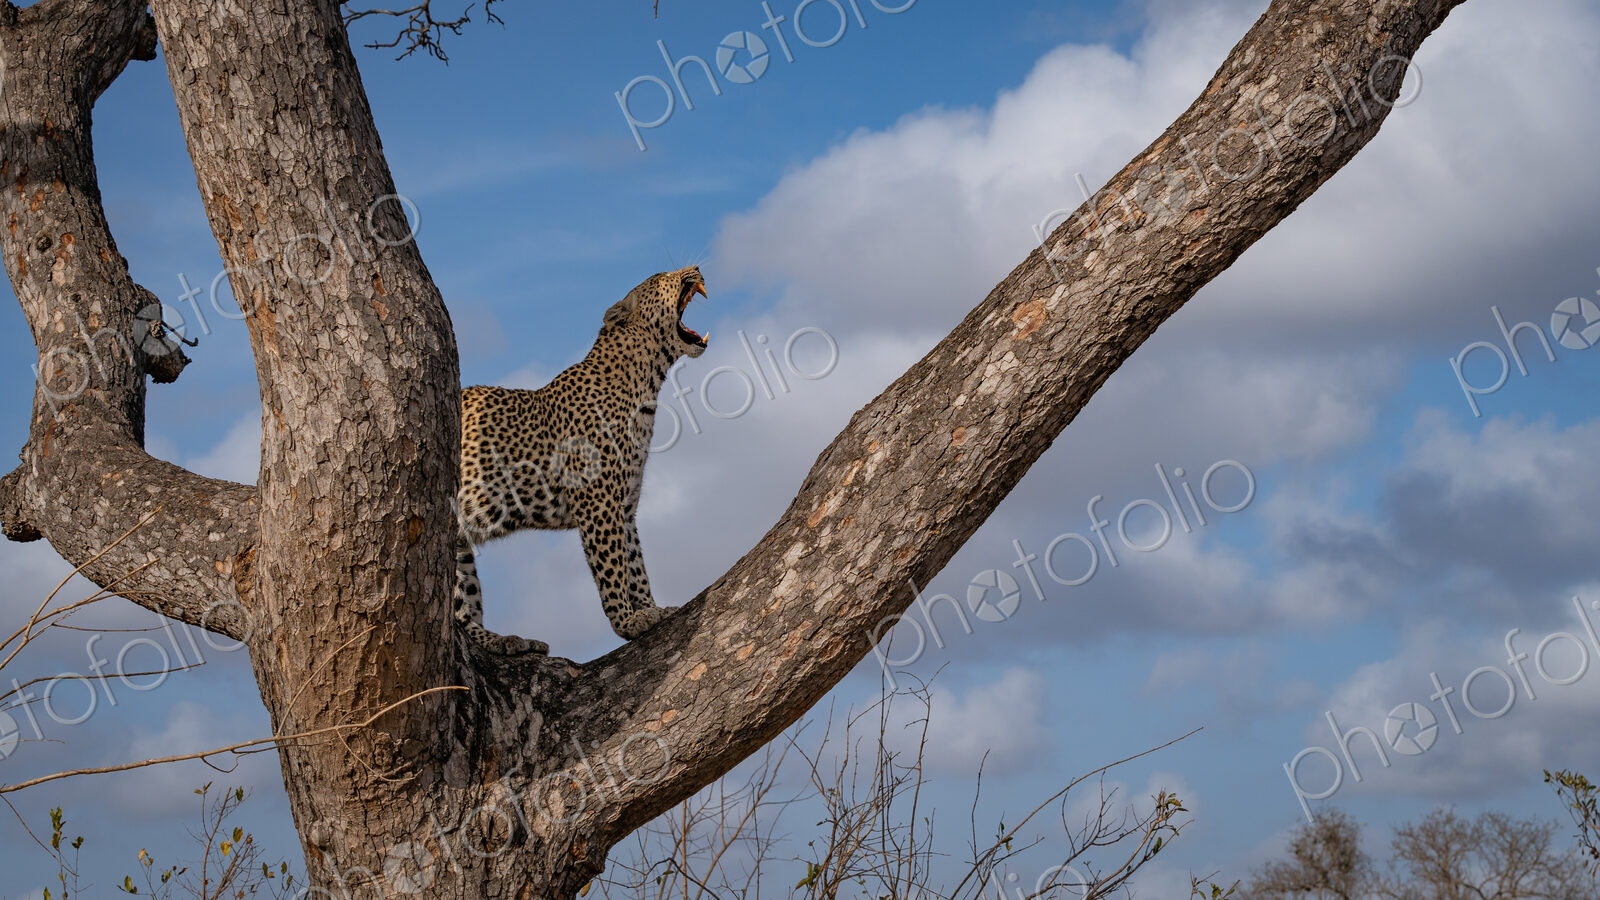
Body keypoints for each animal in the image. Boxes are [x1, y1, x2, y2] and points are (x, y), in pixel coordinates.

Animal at [453, 265, 709, 655]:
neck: (647, 383)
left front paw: (651, 608)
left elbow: (635, 563)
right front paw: (626, 622)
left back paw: (504, 641)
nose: (695, 268)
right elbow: (612, 566)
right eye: (659, 276)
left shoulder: (624, 506)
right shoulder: (597, 500)